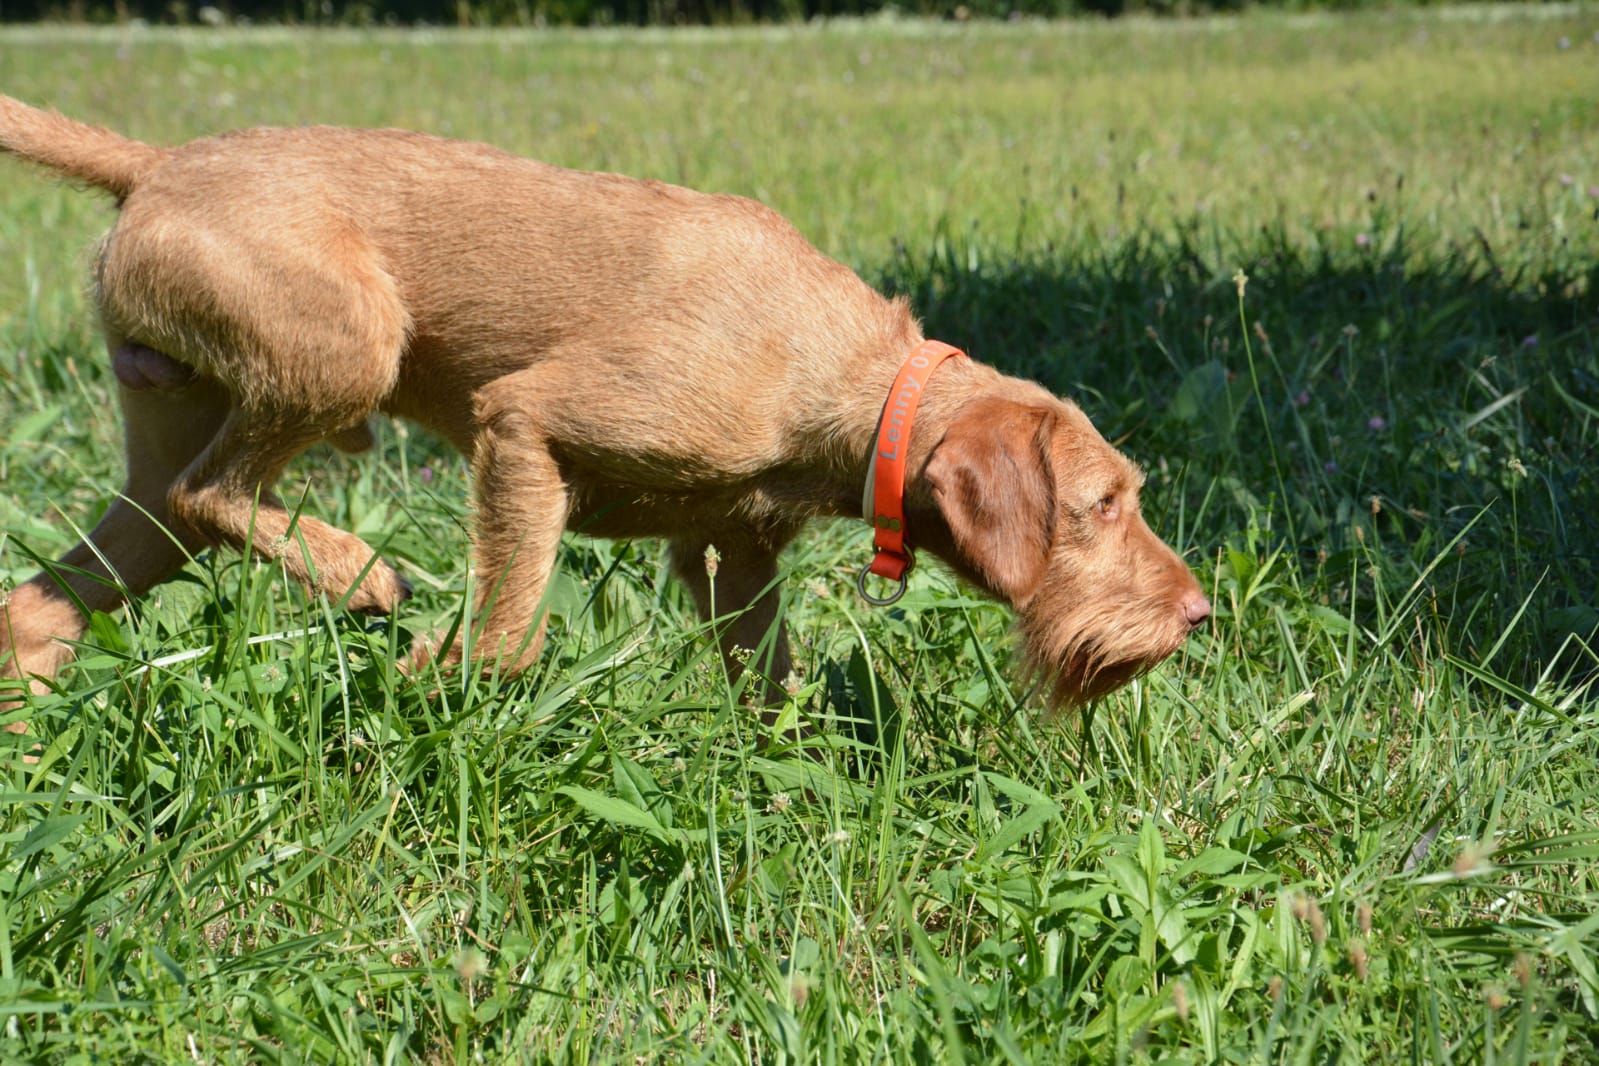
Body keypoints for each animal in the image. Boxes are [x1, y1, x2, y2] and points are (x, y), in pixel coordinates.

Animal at [0, 95, 1202, 722]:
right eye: (1100, 504)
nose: (1197, 616)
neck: (855, 380)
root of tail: (160, 162)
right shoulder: (522, 424)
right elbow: (509, 627)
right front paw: (444, 686)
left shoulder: (729, 556)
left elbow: (769, 681)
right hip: (347, 351)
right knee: (213, 492)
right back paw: (359, 574)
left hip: (165, 456)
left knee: (85, 568)